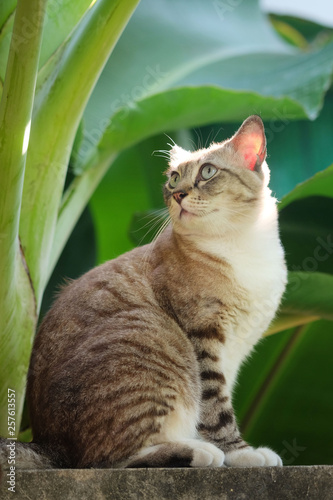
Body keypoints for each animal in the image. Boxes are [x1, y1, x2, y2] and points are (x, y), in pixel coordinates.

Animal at [0, 114, 286, 468]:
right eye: (174, 179)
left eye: (207, 171)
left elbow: (218, 403)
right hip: (151, 342)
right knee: (107, 460)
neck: (242, 243)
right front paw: (242, 453)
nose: (178, 194)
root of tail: (48, 443)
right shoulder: (204, 339)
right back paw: (198, 451)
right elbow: (216, 409)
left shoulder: (234, 351)